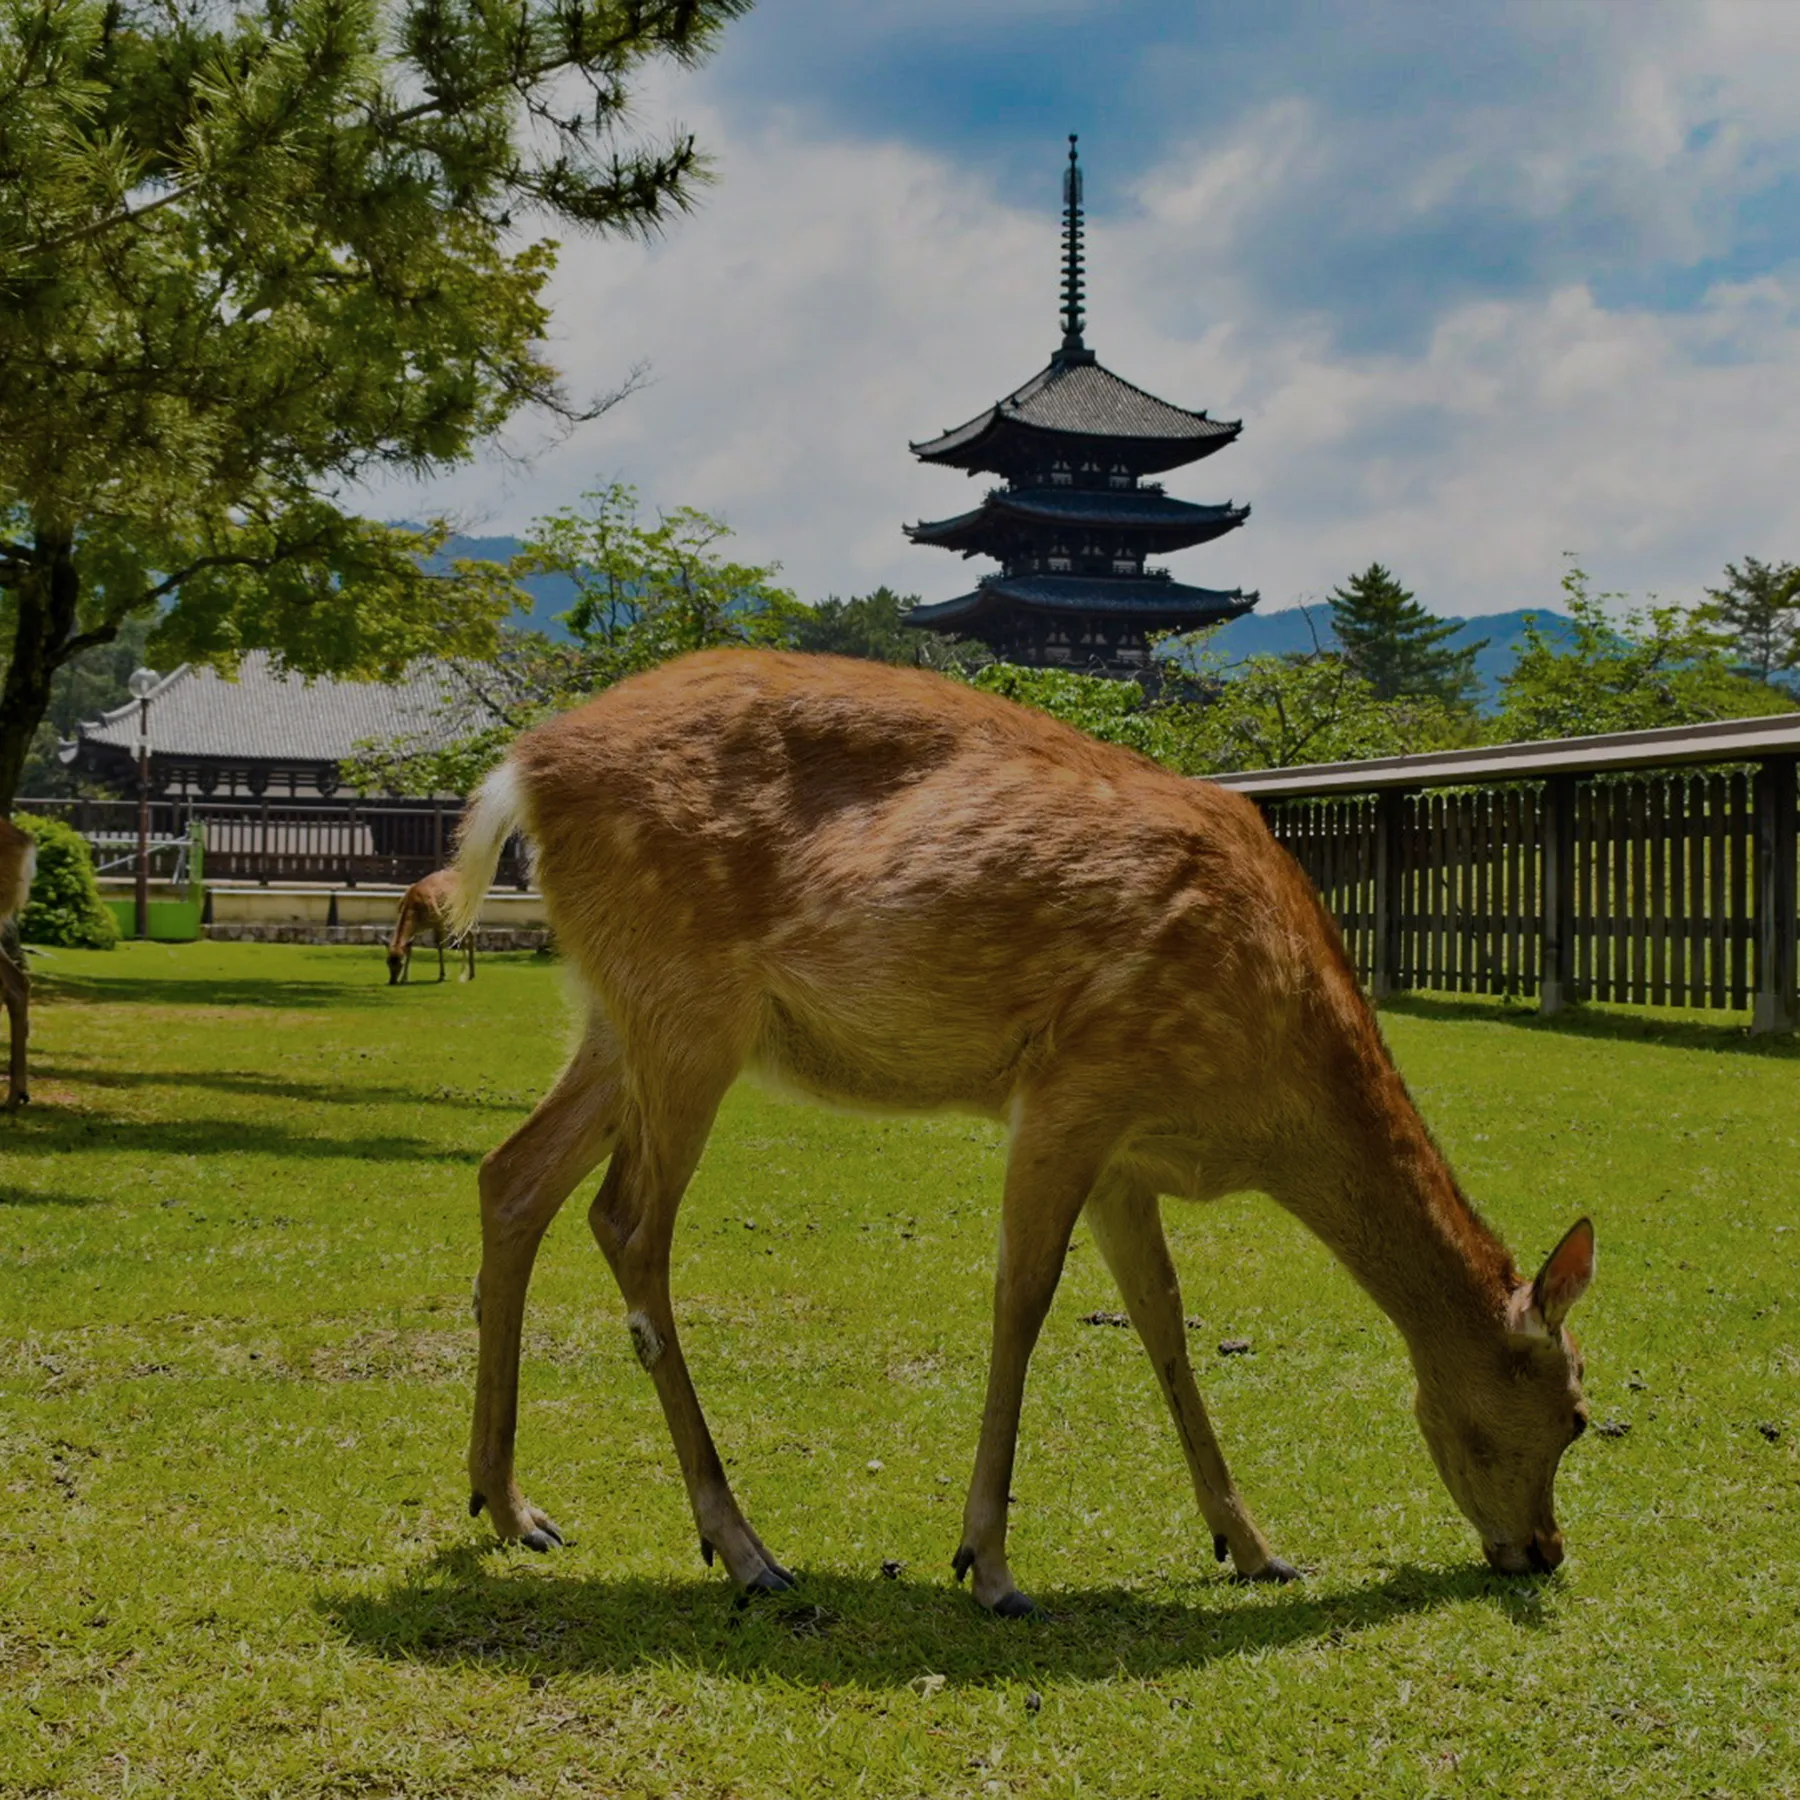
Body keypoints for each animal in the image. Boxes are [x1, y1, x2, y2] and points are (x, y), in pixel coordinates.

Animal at [450, 651, 1605, 1620]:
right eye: (1576, 1414)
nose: (1545, 1549)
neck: (1260, 1109)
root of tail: (519, 770)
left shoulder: (1127, 1152)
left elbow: (1162, 1316)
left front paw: (1254, 1546)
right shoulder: (1076, 1085)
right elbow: (1025, 1298)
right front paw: (990, 1566)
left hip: (619, 1015)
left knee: (512, 1174)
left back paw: (512, 1509)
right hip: (686, 1010)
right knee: (626, 1222)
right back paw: (744, 1549)